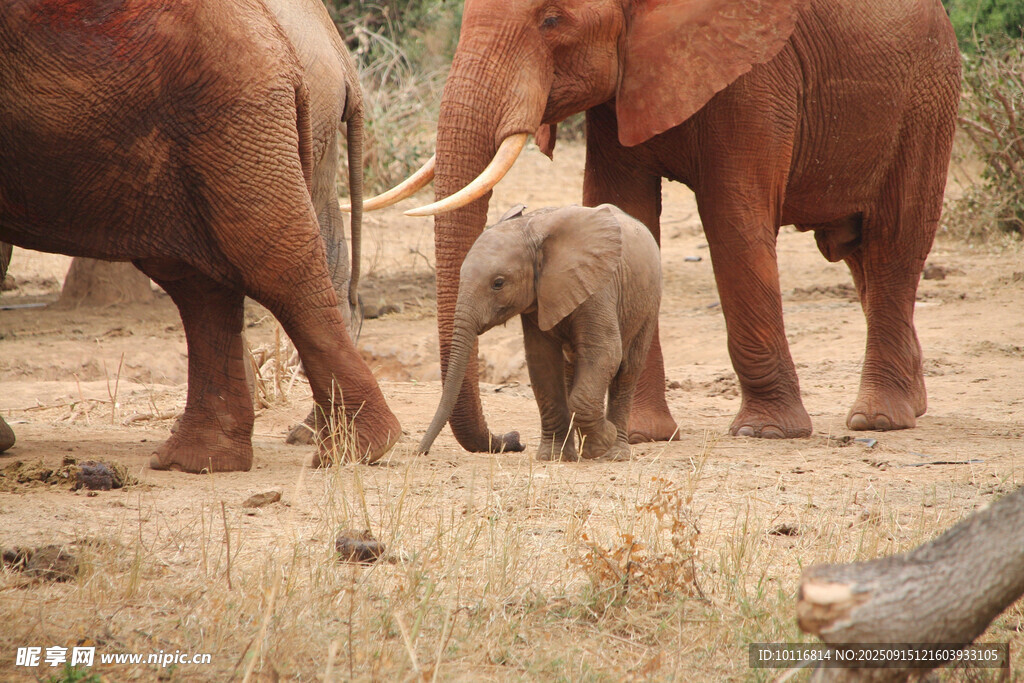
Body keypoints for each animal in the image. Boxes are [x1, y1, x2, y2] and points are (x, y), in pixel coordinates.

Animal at [0, 0, 401, 471]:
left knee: (272, 261)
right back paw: (202, 459)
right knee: (203, 279)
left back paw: (350, 449)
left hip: (231, 116)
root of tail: (338, 58)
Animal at [418, 204, 661, 461]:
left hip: (648, 301)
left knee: (628, 368)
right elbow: (542, 361)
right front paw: (552, 457)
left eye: (498, 283)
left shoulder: (597, 287)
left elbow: (604, 352)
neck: (531, 230)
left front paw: (601, 443)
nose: (421, 451)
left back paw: (615, 454)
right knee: (571, 368)